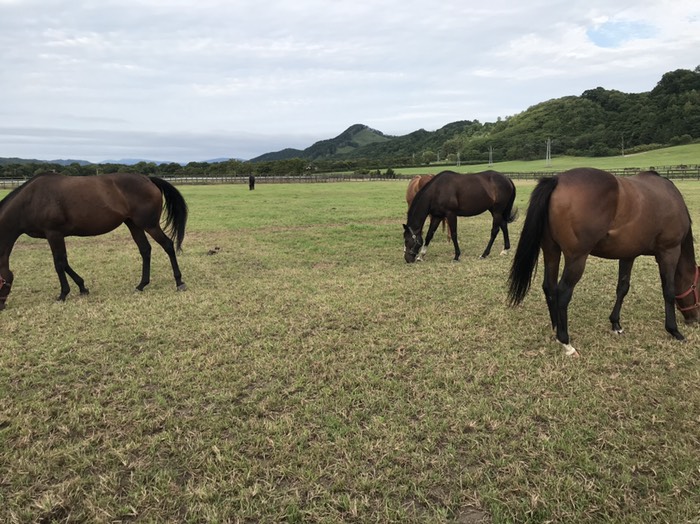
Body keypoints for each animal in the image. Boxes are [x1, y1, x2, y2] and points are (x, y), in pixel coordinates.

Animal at [0, 172, 188, 310]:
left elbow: (59, 263)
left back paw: (179, 282)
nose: (1, 307)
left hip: (149, 225)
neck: (31, 200)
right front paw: (82, 287)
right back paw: (141, 285)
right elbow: (65, 263)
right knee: (145, 250)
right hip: (134, 224)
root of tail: (148, 179)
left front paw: (63, 294)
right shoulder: (55, 236)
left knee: (168, 245)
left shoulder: (54, 234)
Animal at [507, 167, 699, 357]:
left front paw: (615, 324)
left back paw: (556, 328)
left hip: (551, 251)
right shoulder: (669, 252)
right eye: (698, 287)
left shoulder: (628, 254)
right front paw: (674, 330)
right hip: (576, 258)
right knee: (563, 292)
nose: (694, 319)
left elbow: (622, 288)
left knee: (549, 287)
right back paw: (565, 341)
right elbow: (669, 291)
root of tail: (558, 180)